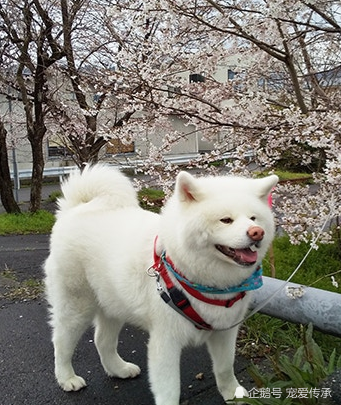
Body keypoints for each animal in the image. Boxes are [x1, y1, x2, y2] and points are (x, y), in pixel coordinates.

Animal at [43, 165, 278, 404]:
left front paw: (234, 395)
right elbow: (169, 388)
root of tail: (77, 209)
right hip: (76, 306)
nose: (256, 232)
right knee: (60, 343)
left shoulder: (225, 332)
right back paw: (67, 378)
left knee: (102, 340)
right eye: (226, 220)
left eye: (253, 218)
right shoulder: (166, 341)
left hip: (113, 304)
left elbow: (225, 368)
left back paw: (119, 369)